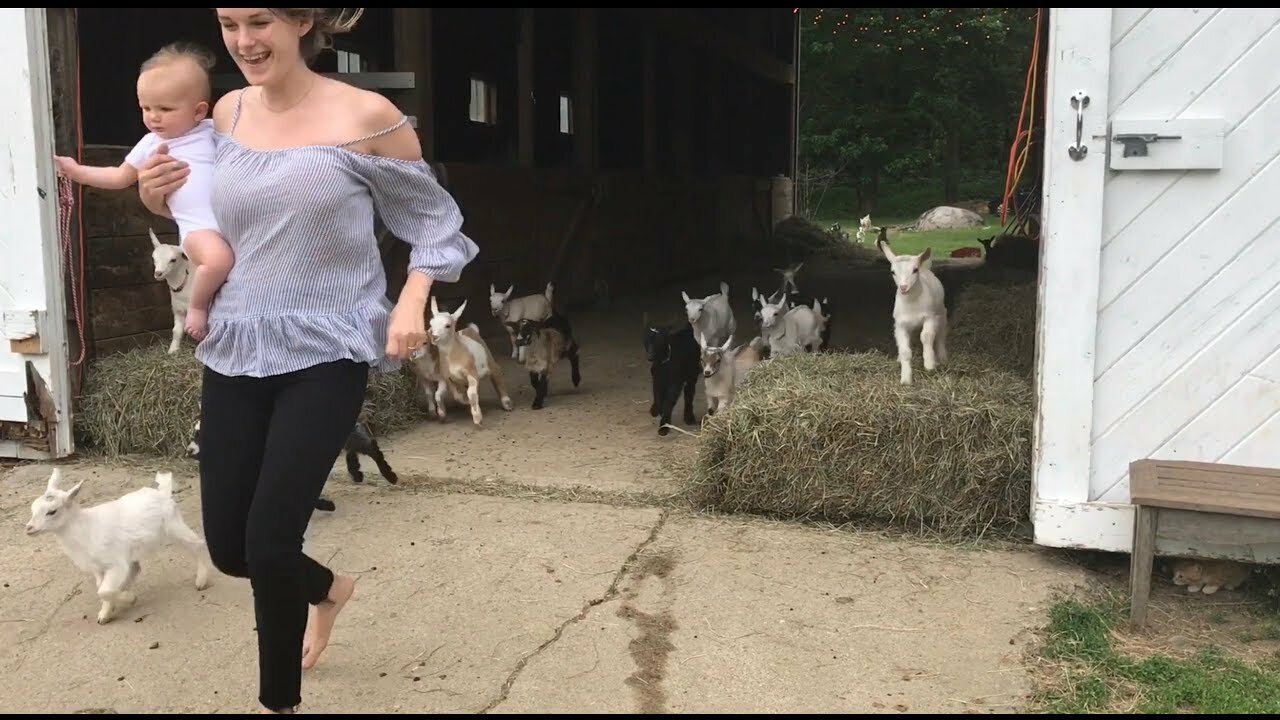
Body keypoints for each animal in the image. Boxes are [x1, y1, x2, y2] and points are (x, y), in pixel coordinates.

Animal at [25, 466, 212, 622]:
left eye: (52, 511)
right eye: (33, 507)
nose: (29, 528)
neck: (86, 529)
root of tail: (163, 493)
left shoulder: (114, 563)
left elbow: (104, 591)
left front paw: (129, 599)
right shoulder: (98, 568)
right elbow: (102, 589)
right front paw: (106, 613)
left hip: (173, 525)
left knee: (198, 543)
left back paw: (201, 581)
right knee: (135, 568)